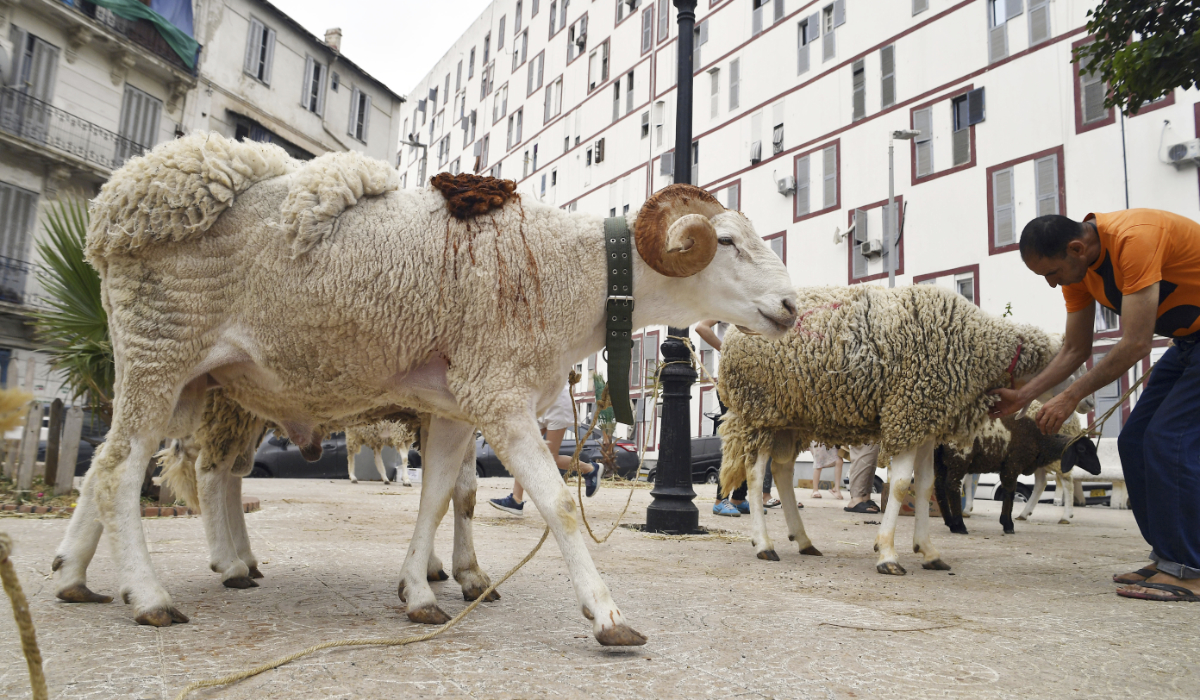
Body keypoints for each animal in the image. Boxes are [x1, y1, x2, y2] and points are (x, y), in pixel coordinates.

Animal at [52, 132, 797, 644]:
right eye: (727, 242)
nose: (792, 306)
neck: (578, 275)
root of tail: (119, 204)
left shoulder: (460, 404)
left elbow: (440, 498)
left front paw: (420, 592)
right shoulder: (499, 393)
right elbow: (556, 504)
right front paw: (607, 615)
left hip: (188, 378)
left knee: (108, 467)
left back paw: (75, 578)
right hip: (159, 350)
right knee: (123, 471)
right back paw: (150, 596)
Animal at [717, 284, 1062, 575]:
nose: (1068, 410)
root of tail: (731, 333)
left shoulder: (924, 422)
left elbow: (924, 486)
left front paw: (928, 551)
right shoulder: (907, 412)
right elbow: (899, 485)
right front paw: (887, 554)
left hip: (788, 419)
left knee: (783, 471)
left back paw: (803, 540)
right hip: (759, 412)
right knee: (755, 474)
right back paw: (764, 544)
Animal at [933, 400, 1101, 536]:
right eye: (1082, 449)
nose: (1098, 470)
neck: (1039, 439)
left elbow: (1009, 492)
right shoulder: (1012, 465)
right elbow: (1009, 493)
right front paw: (1008, 525)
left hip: (939, 460)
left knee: (939, 487)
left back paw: (950, 523)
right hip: (959, 457)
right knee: (952, 486)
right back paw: (959, 526)